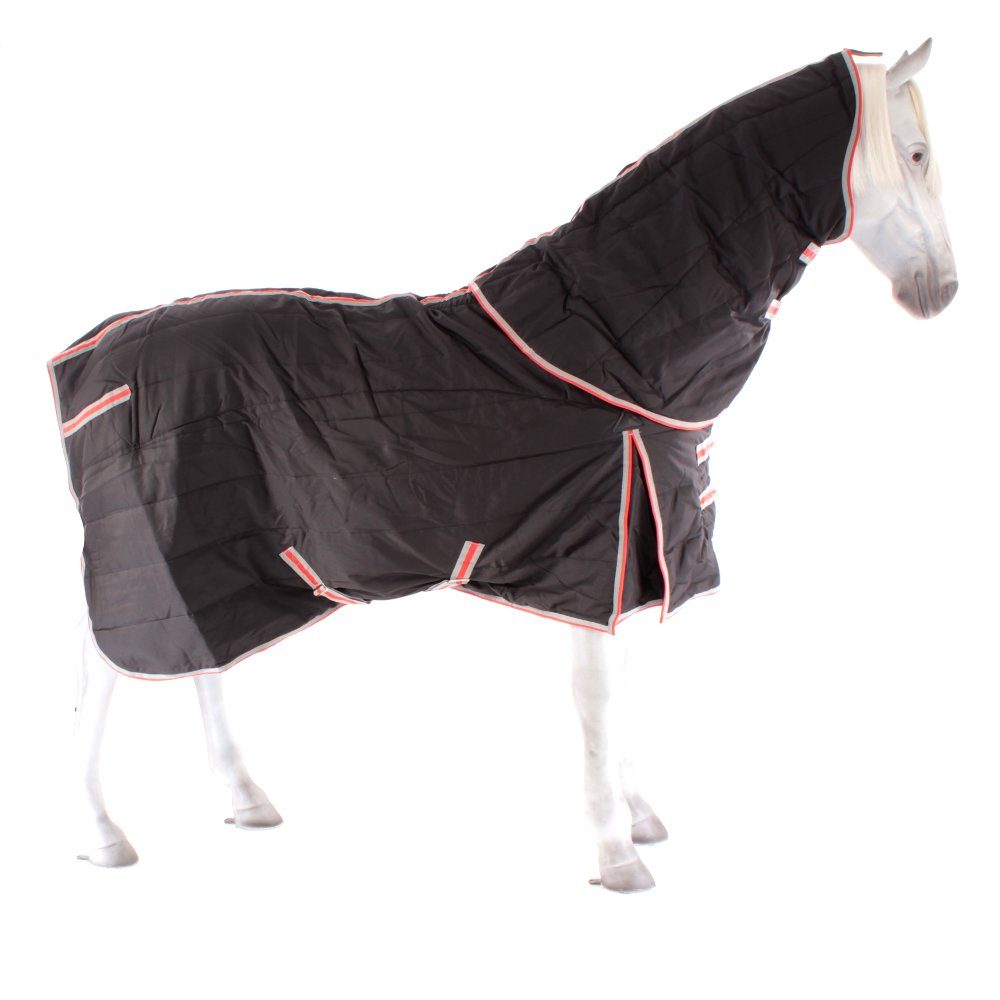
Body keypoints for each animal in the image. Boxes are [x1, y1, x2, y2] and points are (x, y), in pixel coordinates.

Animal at [57, 40, 957, 892]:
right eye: (914, 154)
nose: (941, 291)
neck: (605, 351)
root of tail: (99, 348)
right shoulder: (596, 554)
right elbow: (597, 703)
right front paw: (616, 855)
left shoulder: (634, 554)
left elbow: (623, 694)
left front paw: (638, 818)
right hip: (151, 553)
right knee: (106, 671)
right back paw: (102, 835)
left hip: (224, 559)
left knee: (199, 656)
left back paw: (245, 801)